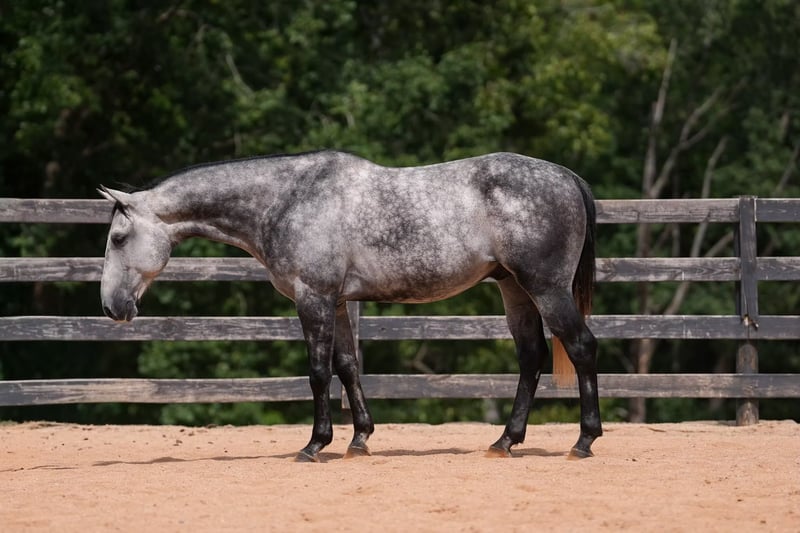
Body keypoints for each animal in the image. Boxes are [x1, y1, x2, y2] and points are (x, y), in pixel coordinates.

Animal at [99, 150, 601, 462]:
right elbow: (346, 366)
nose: (111, 307)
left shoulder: (314, 298)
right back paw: (505, 441)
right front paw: (359, 439)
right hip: (514, 289)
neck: (288, 200)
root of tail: (567, 177)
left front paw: (315, 444)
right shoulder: (338, 302)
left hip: (545, 288)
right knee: (531, 357)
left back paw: (584, 440)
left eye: (118, 238)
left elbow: (319, 372)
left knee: (581, 347)